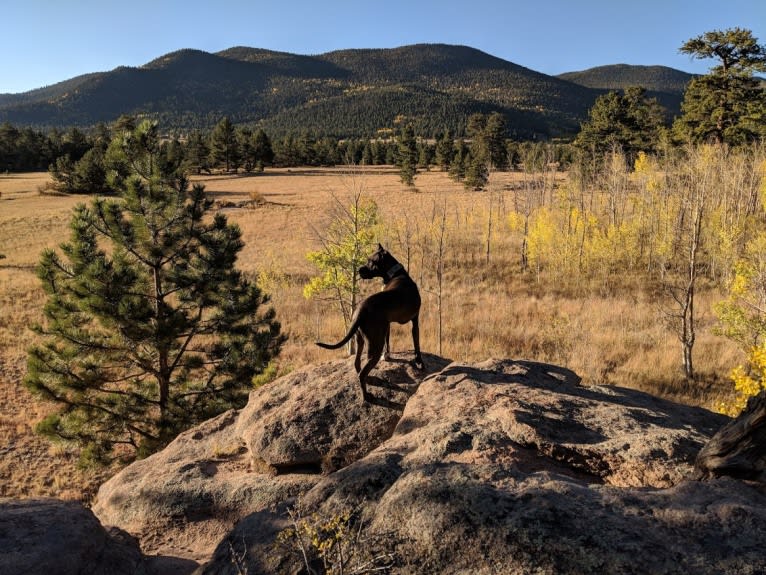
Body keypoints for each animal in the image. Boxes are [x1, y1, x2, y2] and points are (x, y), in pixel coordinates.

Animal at [318, 245, 426, 402]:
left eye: (371, 261)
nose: (358, 270)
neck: (395, 274)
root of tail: (360, 310)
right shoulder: (414, 320)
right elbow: (416, 343)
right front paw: (419, 361)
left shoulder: (391, 324)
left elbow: (392, 342)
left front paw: (389, 356)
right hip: (375, 344)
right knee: (363, 372)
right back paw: (367, 397)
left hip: (361, 339)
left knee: (357, 364)